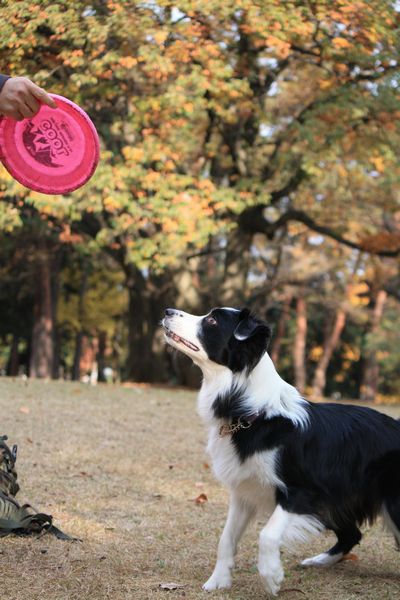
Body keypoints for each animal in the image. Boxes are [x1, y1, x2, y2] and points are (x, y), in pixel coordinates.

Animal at [162, 308, 400, 596]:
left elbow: (267, 534)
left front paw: (271, 576)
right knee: (352, 533)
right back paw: (319, 560)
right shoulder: (245, 491)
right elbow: (226, 538)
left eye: (212, 320)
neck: (252, 412)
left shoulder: (305, 492)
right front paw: (218, 580)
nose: (167, 311)